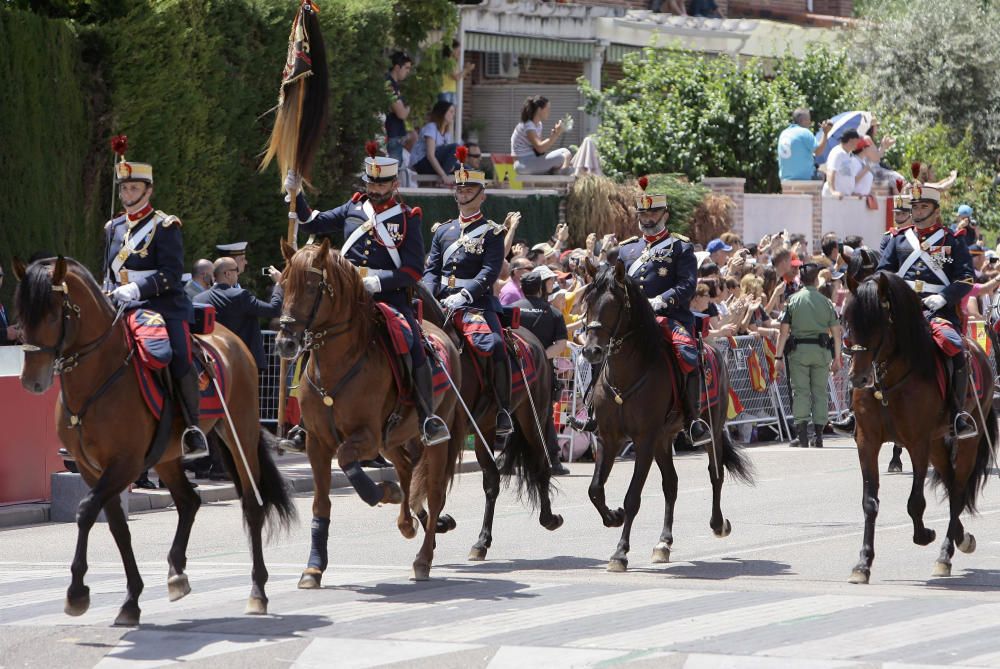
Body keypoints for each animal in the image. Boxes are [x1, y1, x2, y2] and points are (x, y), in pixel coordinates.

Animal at [12, 258, 292, 628]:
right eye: (20, 315)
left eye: (53, 315)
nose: (31, 381)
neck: (97, 379)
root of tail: (232, 339)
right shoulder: (91, 468)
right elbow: (117, 526)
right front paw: (131, 600)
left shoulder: (124, 464)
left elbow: (85, 512)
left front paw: (77, 592)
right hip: (167, 455)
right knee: (189, 501)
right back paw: (176, 573)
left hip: (240, 434)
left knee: (252, 504)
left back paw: (257, 592)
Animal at [278, 239, 464, 580]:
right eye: (282, 285)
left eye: (311, 287)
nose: (285, 342)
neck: (338, 365)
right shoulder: (317, 443)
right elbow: (321, 504)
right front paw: (314, 567)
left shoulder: (366, 437)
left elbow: (347, 460)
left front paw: (382, 492)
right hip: (394, 439)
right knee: (406, 468)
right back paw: (407, 522)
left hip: (433, 438)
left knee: (434, 492)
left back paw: (423, 558)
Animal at [418, 282, 568, 560]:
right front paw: (437, 527)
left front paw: (436, 529)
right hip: (485, 428)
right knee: (492, 481)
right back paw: (482, 541)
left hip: (533, 418)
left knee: (539, 464)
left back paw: (548, 518)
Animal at [580, 260, 752, 568]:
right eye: (587, 302)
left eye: (613, 305)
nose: (591, 351)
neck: (627, 373)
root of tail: (712, 348)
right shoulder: (608, 438)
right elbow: (595, 489)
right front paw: (614, 517)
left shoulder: (644, 440)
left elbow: (633, 496)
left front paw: (620, 552)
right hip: (664, 439)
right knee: (671, 484)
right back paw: (663, 543)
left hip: (710, 430)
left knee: (715, 474)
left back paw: (718, 524)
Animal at [840, 268, 996, 580]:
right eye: (847, 320)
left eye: (878, 322)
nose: (858, 378)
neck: (887, 382)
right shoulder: (867, 441)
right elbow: (870, 502)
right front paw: (863, 564)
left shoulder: (917, 443)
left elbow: (915, 502)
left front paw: (924, 535)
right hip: (938, 444)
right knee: (950, 484)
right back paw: (961, 537)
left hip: (966, 442)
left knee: (957, 491)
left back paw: (946, 555)